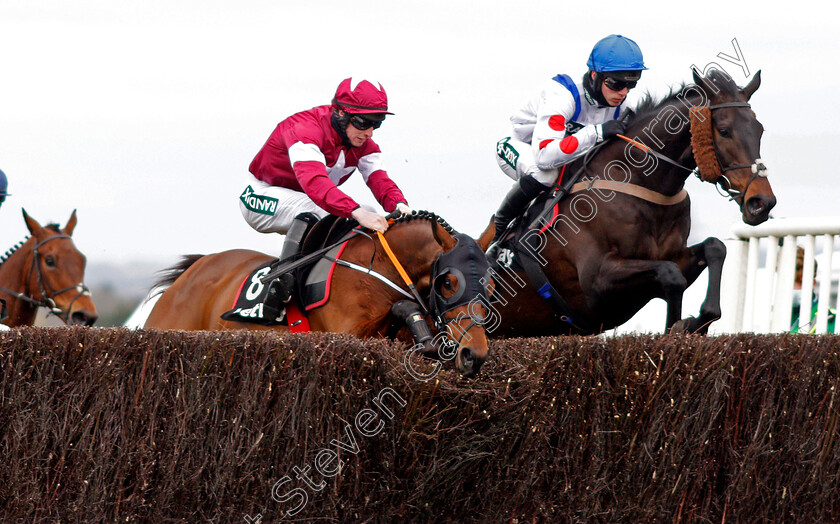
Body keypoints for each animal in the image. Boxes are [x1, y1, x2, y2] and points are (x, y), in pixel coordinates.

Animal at [144, 213, 492, 376]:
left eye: (489, 285)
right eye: (448, 283)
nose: (473, 355)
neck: (378, 267)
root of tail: (189, 273)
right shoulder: (347, 333)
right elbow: (403, 306)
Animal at [480, 68, 776, 336]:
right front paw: (677, 327)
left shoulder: (675, 256)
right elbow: (671, 276)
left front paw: (694, 322)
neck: (637, 181)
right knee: (539, 173)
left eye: (760, 130)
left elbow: (714, 249)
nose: (761, 202)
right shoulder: (597, 282)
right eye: (724, 130)